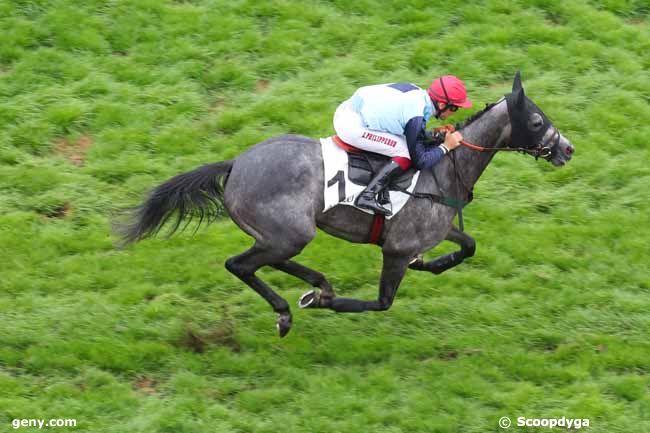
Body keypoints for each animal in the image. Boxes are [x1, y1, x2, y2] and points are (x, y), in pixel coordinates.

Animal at [117, 71, 572, 336]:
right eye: (536, 121)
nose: (566, 148)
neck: (446, 169)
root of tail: (235, 165)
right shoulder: (396, 247)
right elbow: (382, 302)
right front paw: (327, 303)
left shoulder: (435, 227)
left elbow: (468, 246)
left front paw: (430, 263)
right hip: (289, 232)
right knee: (240, 265)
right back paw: (292, 307)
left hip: (284, 234)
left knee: (270, 261)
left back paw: (316, 285)